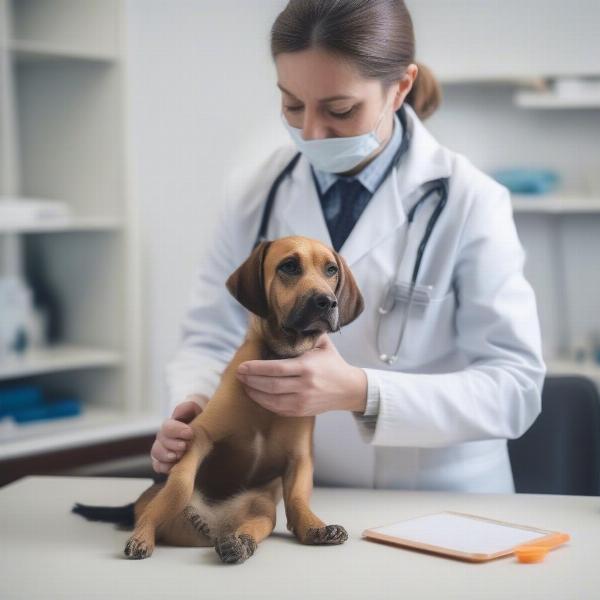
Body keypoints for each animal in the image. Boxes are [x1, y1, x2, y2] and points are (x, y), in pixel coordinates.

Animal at [72, 234, 364, 564]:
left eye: (331, 270)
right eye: (289, 266)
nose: (327, 301)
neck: (278, 355)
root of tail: (216, 523)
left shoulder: (300, 458)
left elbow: (298, 498)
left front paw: (312, 526)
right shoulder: (199, 436)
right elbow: (180, 484)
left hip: (261, 507)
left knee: (257, 522)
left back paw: (238, 543)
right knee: (152, 509)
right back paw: (146, 534)